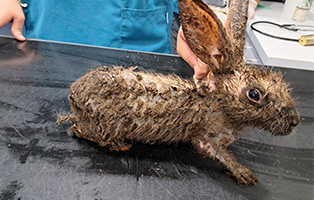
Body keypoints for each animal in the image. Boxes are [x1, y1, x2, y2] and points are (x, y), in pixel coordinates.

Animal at [58, 0, 300, 184]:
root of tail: (74, 93)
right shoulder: (206, 136)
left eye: (281, 82)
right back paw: (119, 145)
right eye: (254, 95)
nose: (295, 121)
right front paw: (244, 173)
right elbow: (218, 153)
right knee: (79, 129)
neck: (219, 103)